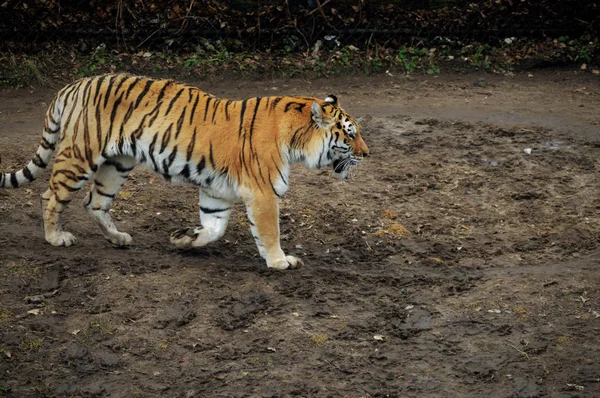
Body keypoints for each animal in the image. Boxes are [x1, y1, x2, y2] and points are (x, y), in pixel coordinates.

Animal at [0, 73, 368, 268]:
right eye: (350, 134)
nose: (367, 153)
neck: (295, 139)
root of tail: (74, 85)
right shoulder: (263, 192)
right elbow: (269, 232)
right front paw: (281, 261)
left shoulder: (217, 191)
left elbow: (214, 228)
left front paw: (184, 239)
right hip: (80, 156)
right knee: (50, 196)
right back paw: (56, 238)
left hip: (118, 164)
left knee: (95, 202)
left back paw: (118, 238)